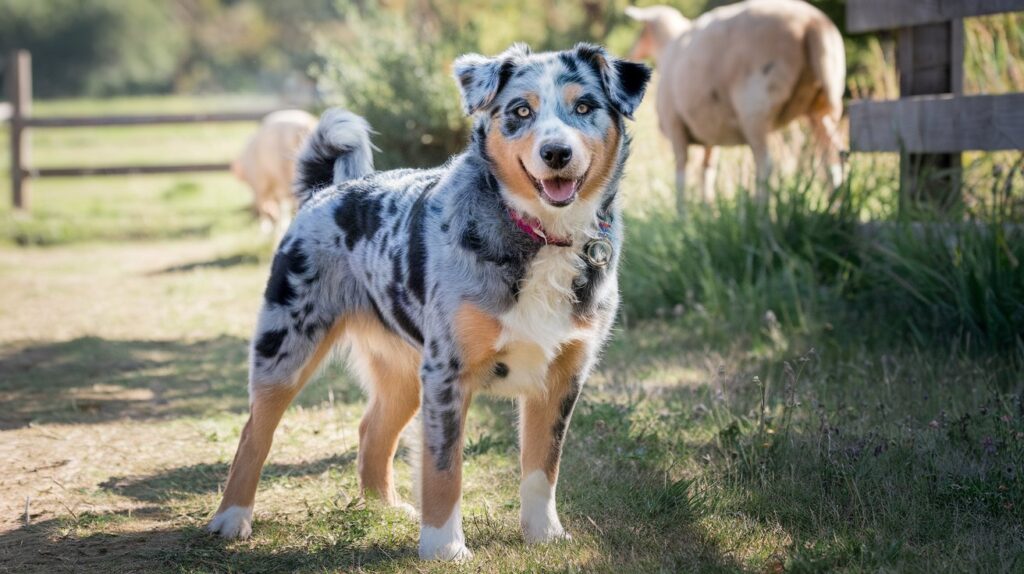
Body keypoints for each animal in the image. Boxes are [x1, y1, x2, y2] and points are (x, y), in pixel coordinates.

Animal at [207, 41, 651, 560]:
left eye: (584, 107)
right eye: (521, 111)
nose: (556, 152)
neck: (540, 235)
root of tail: (326, 191)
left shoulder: (562, 377)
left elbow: (543, 468)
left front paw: (543, 533)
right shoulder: (447, 374)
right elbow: (444, 471)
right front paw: (444, 547)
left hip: (401, 374)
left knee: (371, 431)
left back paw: (382, 508)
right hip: (285, 349)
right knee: (254, 433)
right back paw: (231, 518)